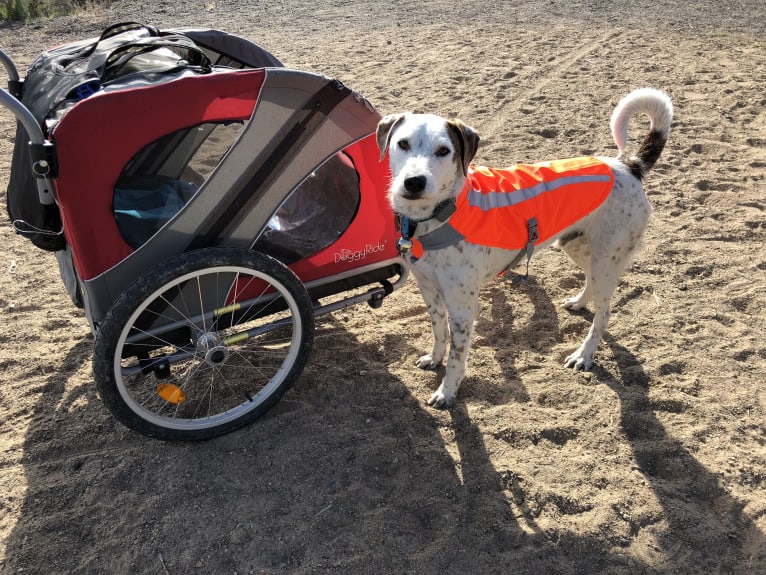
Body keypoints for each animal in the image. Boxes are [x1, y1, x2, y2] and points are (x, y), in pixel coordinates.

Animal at [376, 86, 672, 410]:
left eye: (443, 151)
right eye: (403, 144)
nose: (414, 182)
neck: (439, 215)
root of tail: (630, 166)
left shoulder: (463, 307)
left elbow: (457, 356)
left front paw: (447, 391)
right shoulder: (429, 290)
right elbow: (438, 331)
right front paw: (434, 358)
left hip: (607, 259)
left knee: (604, 313)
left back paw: (584, 355)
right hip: (579, 247)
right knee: (591, 285)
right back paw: (579, 303)